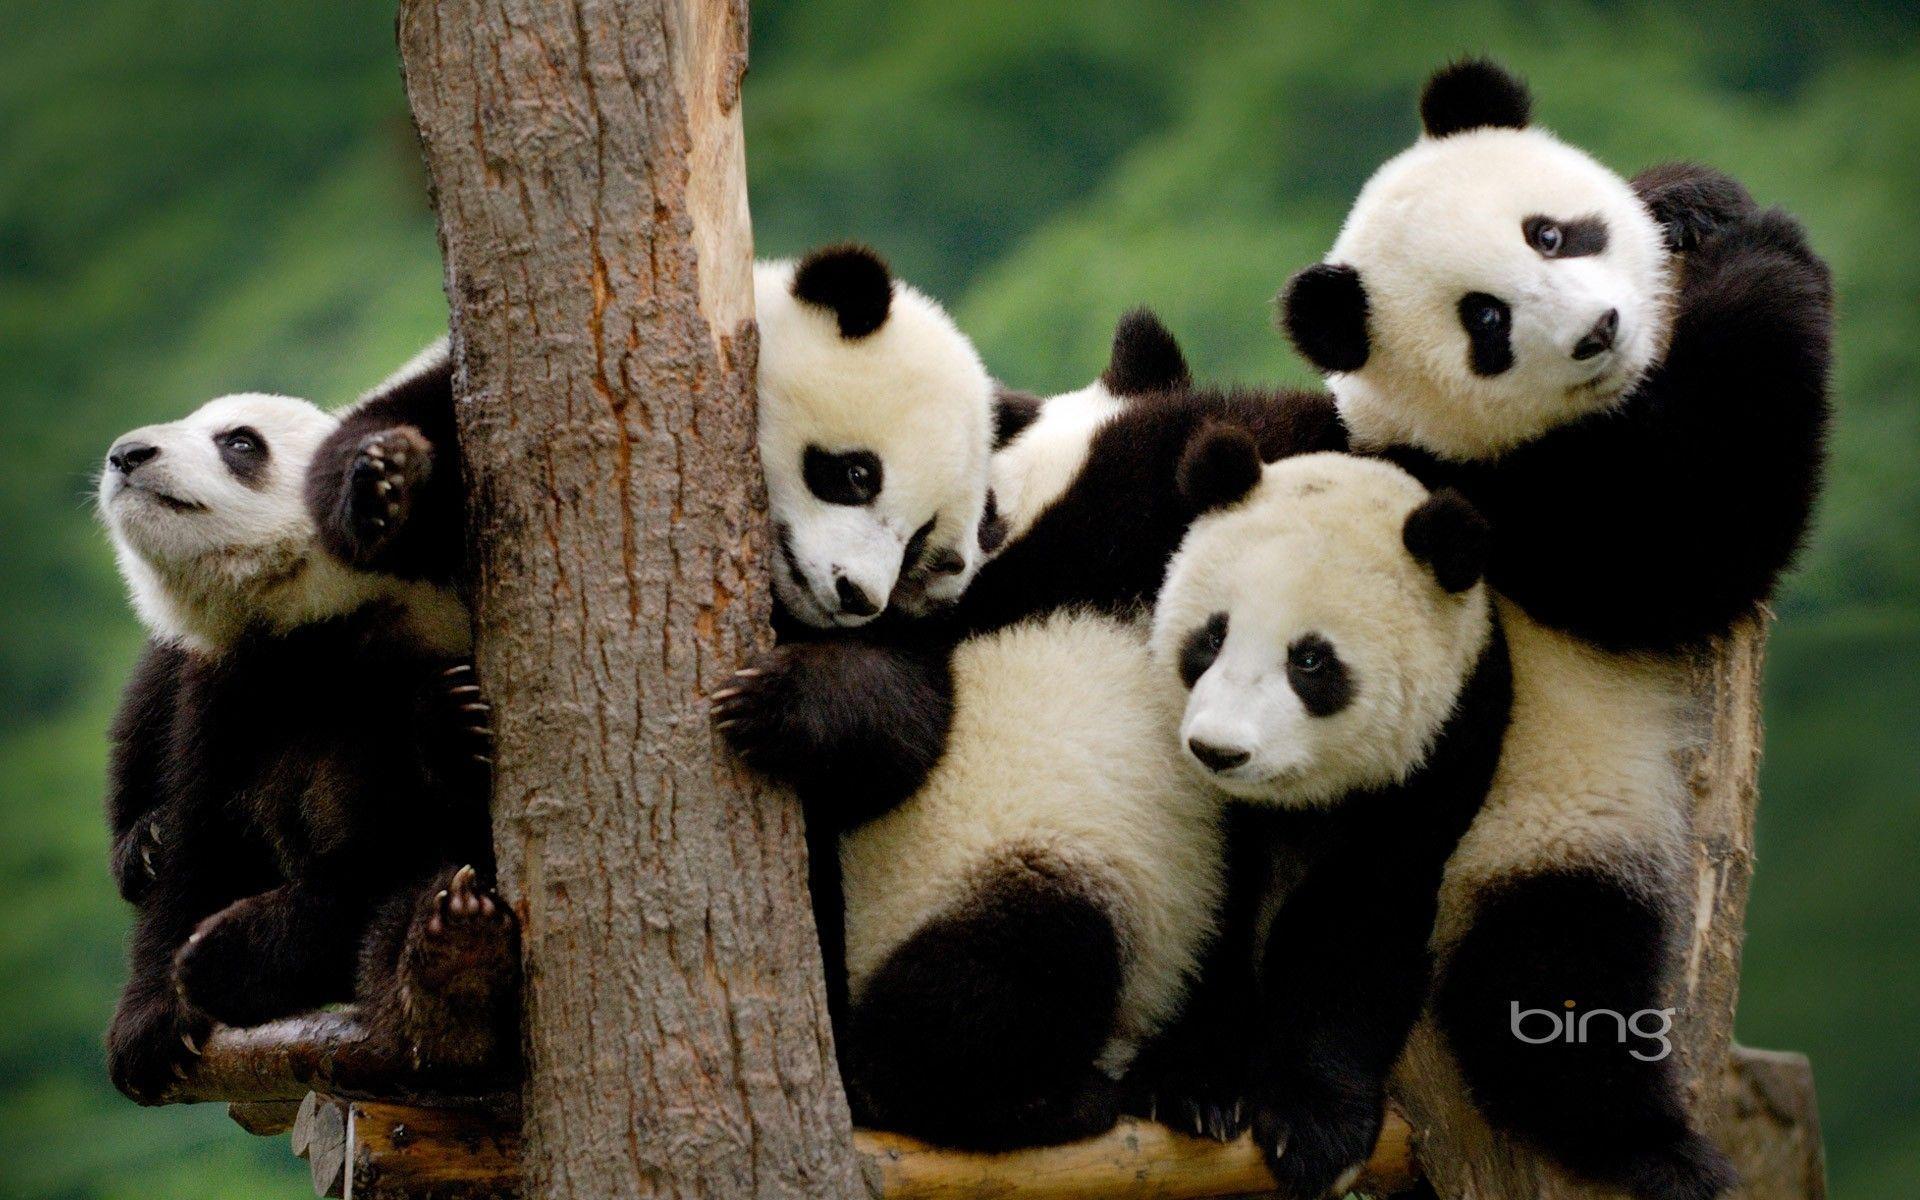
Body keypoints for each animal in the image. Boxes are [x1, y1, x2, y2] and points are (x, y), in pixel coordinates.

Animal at [98, 391, 516, 1103]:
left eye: (240, 442)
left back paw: (450, 976)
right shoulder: (228, 689)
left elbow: (394, 846)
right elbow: (199, 840)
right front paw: (149, 1026)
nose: (127, 454)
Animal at [1127, 442, 1509, 1200]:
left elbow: (1358, 925)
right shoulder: (1211, 806)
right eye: (1210, 637)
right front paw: (1193, 1085)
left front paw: (1312, 1129)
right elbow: (1208, 900)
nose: (1219, 749)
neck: (1293, 799)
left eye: (1310, 660)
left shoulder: (1443, 753)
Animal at [1277, 59, 1832, 1199]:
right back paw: (1651, 1145)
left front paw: (1694, 198)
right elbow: (1688, 541)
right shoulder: (1504, 502)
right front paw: (1768, 254)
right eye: (1484, 322)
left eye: (1549, 233)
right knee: (1549, 985)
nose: (1598, 332)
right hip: (1524, 833)